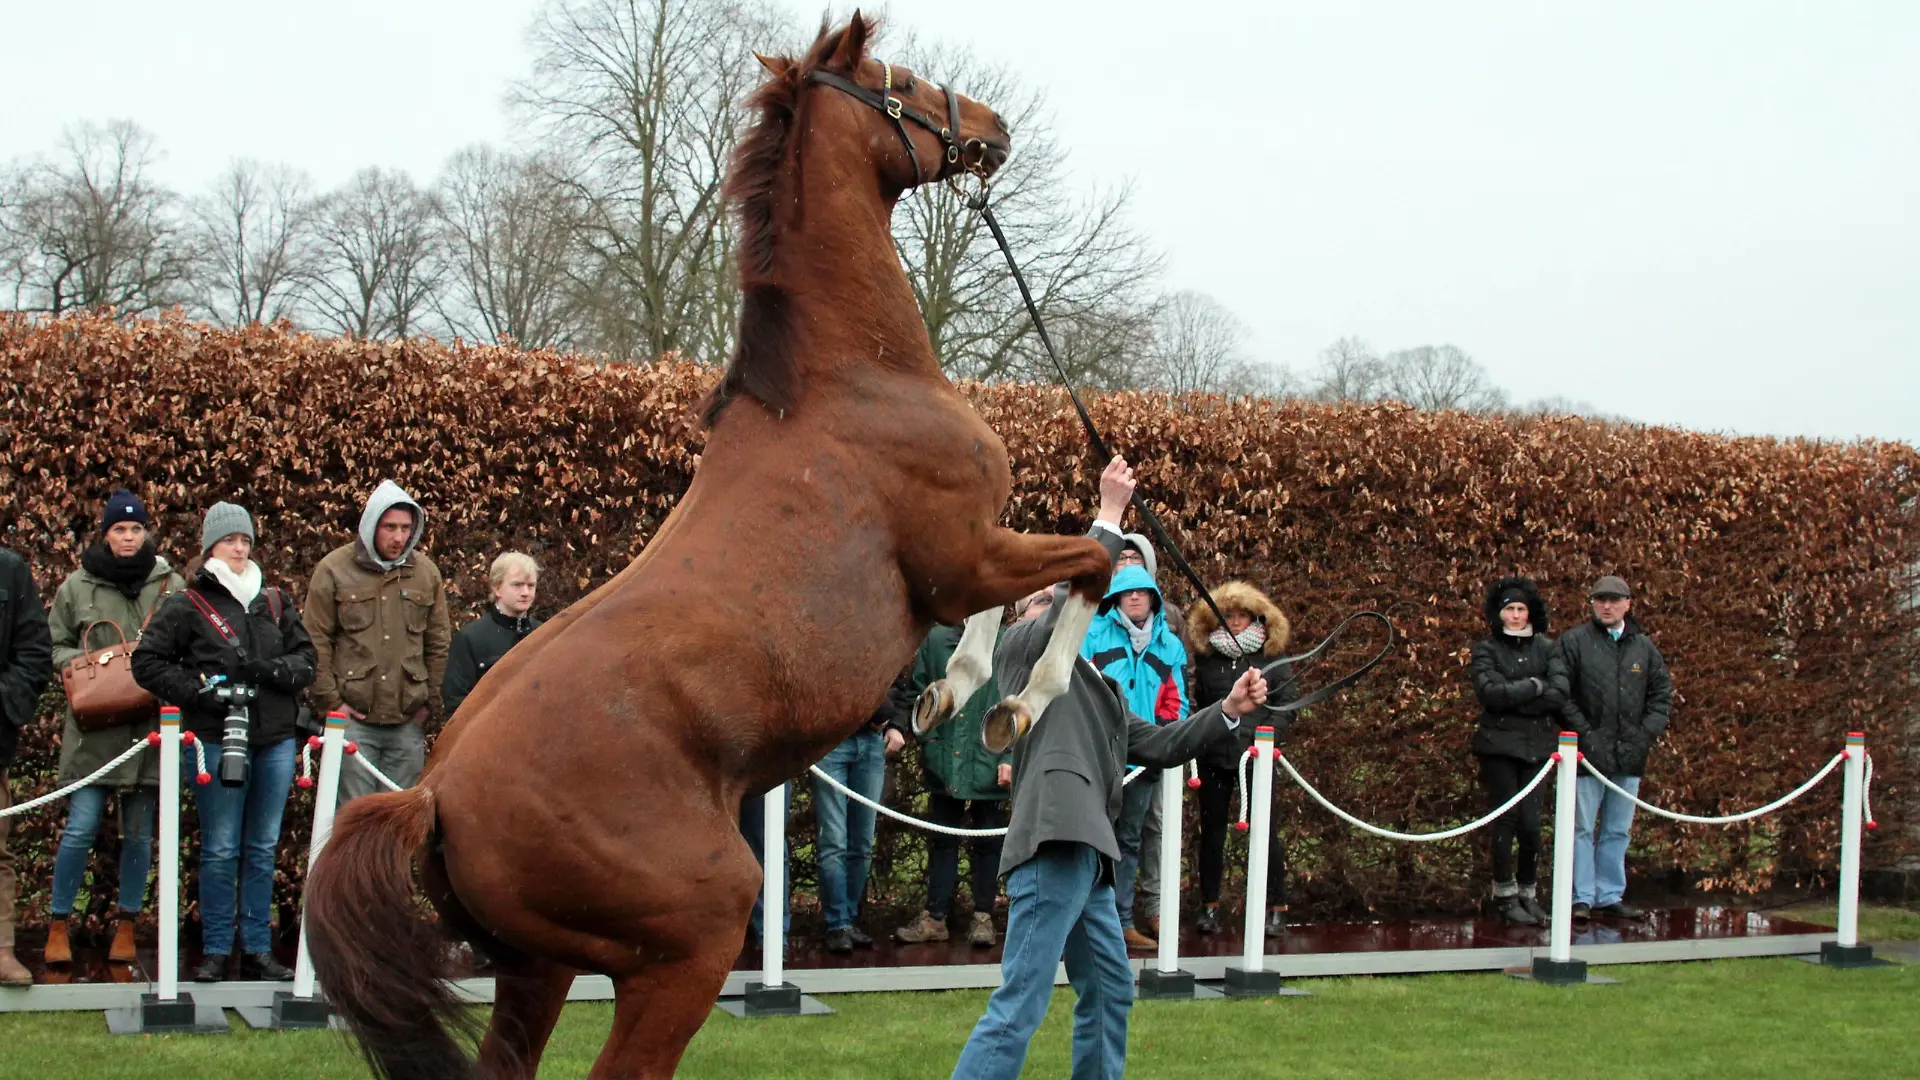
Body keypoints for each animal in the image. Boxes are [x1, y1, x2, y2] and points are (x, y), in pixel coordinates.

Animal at [302, 15, 1121, 1079]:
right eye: (899, 81)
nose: (991, 129)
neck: (850, 377)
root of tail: (433, 792)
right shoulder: (965, 554)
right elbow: (1094, 563)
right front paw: (1011, 704)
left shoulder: (966, 559)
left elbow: (1009, 607)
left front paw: (951, 694)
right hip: (688, 940)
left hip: (535, 969)